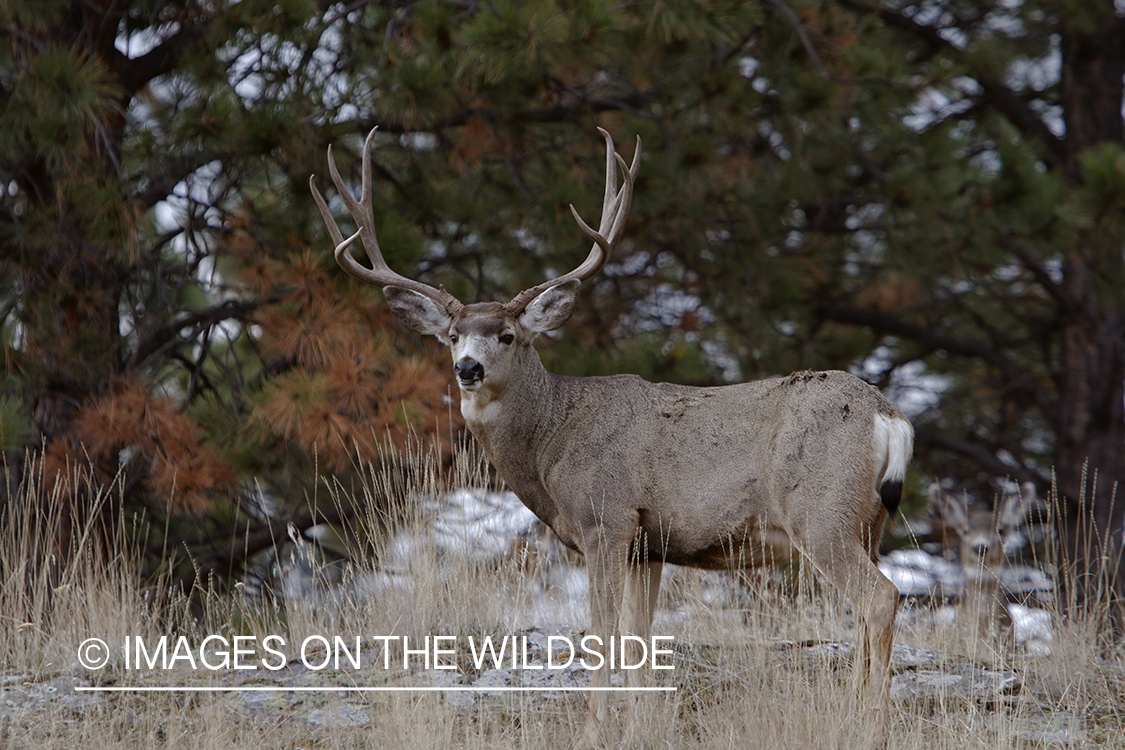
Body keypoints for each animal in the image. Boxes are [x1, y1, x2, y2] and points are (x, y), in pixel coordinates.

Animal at [312, 129, 909, 750]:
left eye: (507, 334)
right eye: (452, 335)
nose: (468, 368)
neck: (552, 440)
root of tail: (887, 416)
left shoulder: (606, 518)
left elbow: (602, 636)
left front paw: (593, 731)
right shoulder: (649, 544)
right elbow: (641, 639)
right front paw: (640, 727)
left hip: (820, 510)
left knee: (880, 597)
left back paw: (870, 726)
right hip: (867, 522)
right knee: (866, 607)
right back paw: (849, 717)